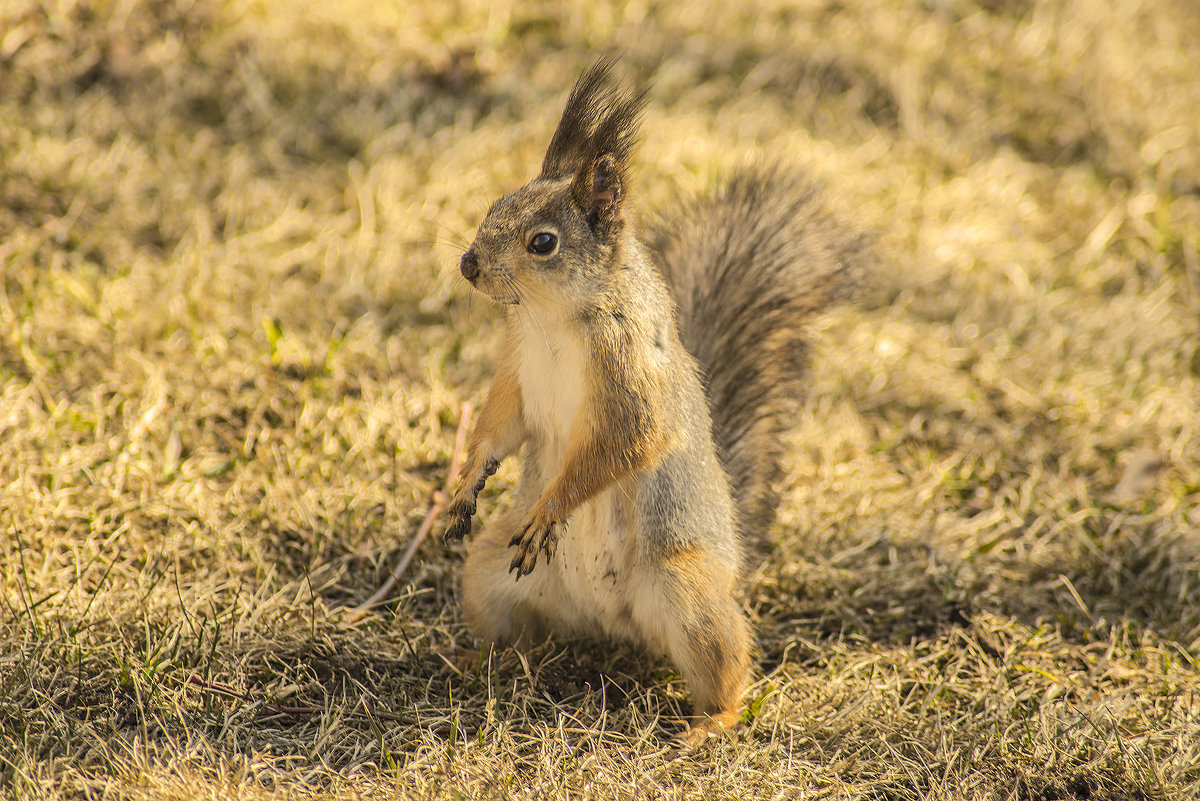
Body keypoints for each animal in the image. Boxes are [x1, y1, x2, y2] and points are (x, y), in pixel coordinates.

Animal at [441, 56, 873, 743]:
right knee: (514, 633)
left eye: (543, 243)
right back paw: (471, 656)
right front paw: (464, 485)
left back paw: (710, 725)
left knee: (724, 665)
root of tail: (607, 624)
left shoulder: (631, 377)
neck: (551, 318)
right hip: (486, 571)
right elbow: (500, 427)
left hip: (685, 591)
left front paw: (551, 508)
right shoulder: (515, 367)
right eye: (494, 205)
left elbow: (625, 444)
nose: (468, 264)